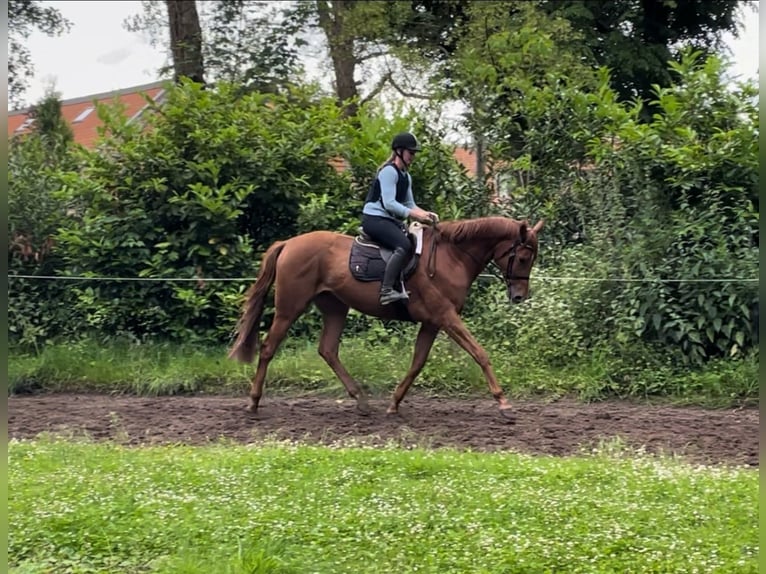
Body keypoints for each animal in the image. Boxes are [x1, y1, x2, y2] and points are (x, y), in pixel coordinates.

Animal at [228, 216, 544, 420]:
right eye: (523, 258)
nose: (519, 296)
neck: (451, 257)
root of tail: (288, 244)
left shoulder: (432, 323)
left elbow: (417, 363)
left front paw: (394, 403)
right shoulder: (446, 317)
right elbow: (480, 354)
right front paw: (503, 403)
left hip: (335, 308)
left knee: (328, 350)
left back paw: (361, 400)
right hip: (289, 308)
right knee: (268, 348)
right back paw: (253, 403)